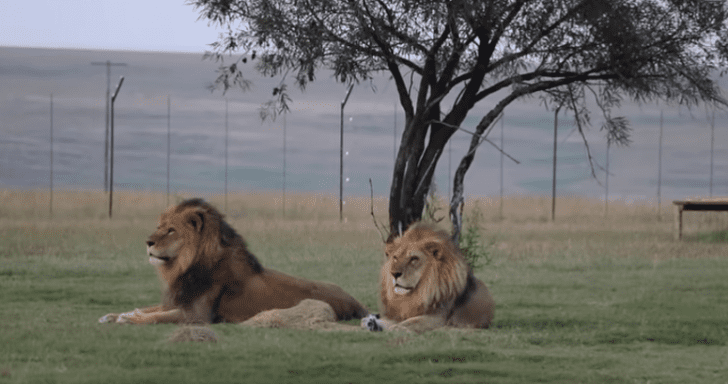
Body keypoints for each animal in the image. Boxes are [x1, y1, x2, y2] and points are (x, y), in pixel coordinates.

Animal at [98, 198, 370, 324]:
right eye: (159, 227)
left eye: (171, 231)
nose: (148, 242)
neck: (186, 266)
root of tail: (359, 305)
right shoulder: (178, 300)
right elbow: (148, 308)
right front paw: (114, 314)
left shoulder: (197, 315)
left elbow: (156, 317)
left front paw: (129, 319)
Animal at [362, 222, 494, 332]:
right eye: (395, 257)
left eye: (414, 259)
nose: (394, 274)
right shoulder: (398, 313)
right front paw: (370, 322)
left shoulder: (439, 319)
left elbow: (411, 322)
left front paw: (394, 328)